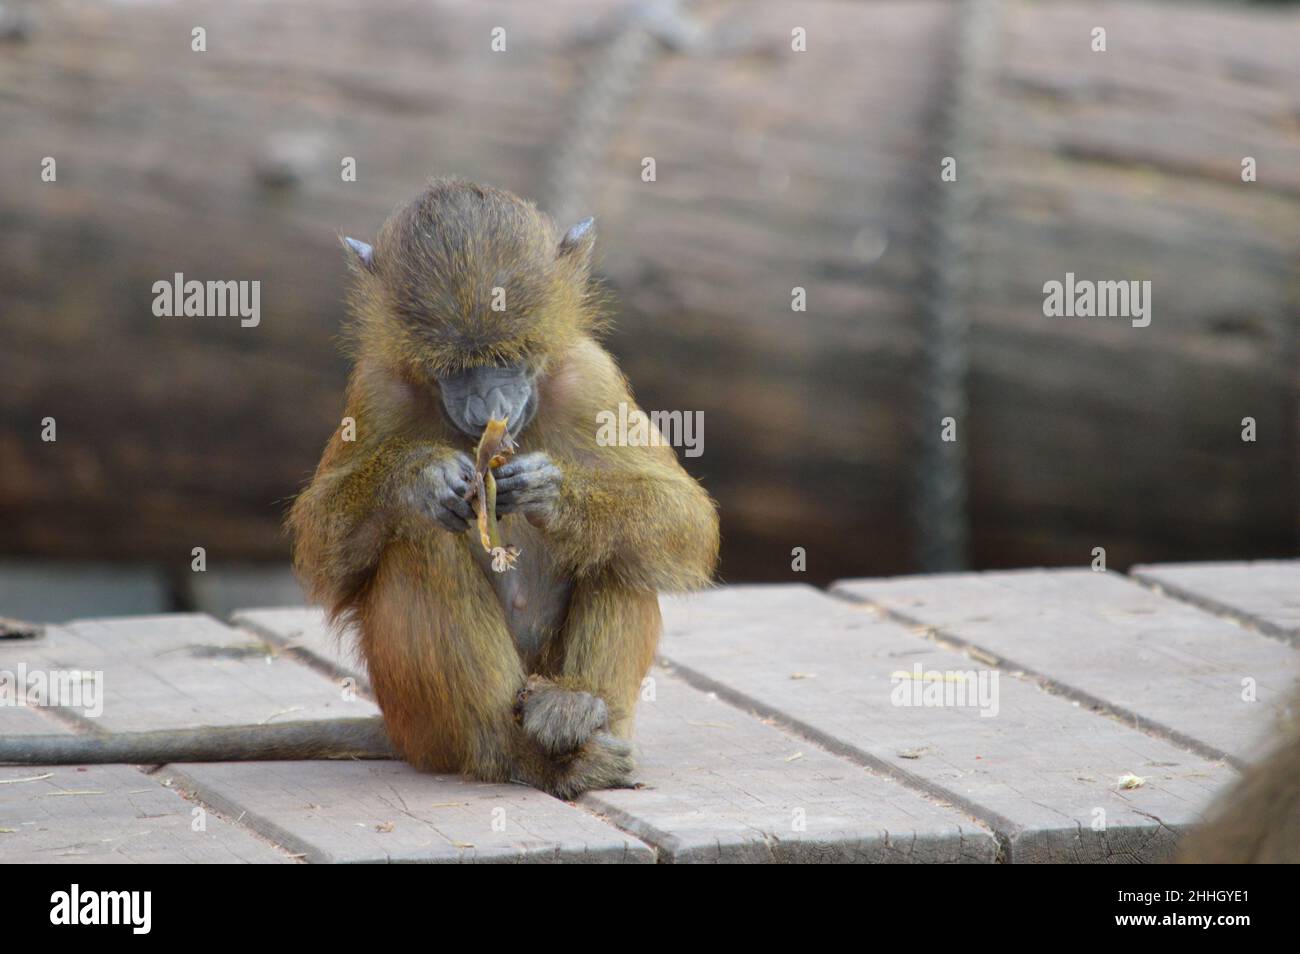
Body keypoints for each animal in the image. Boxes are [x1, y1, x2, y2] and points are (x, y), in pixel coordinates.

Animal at [0, 178, 722, 800]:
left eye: (510, 356)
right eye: (454, 367)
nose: (491, 408)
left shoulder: (589, 377)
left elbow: (684, 519)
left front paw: (554, 494)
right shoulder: (375, 389)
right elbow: (323, 547)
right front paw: (420, 478)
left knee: (623, 554)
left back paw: (570, 708)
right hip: (425, 722)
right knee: (424, 548)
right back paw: (518, 757)